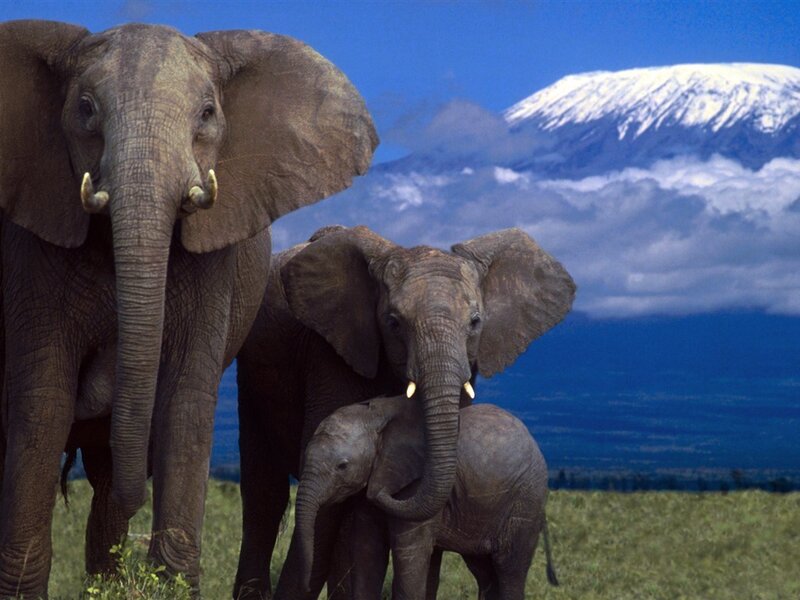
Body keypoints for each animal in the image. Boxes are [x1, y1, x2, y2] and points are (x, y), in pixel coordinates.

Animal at [0, 19, 376, 597]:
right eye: (85, 108)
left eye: (207, 113)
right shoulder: (32, 244)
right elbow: (43, 400)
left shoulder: (213, 262)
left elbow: (184, 400)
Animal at [284, 395, 559, 600]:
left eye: (342, 466)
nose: (306, 586)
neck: (374, 417)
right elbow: (366, 551)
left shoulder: (413, 484)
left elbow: (410, 555)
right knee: (484, 571)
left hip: (526, 501)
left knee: (509, 569)